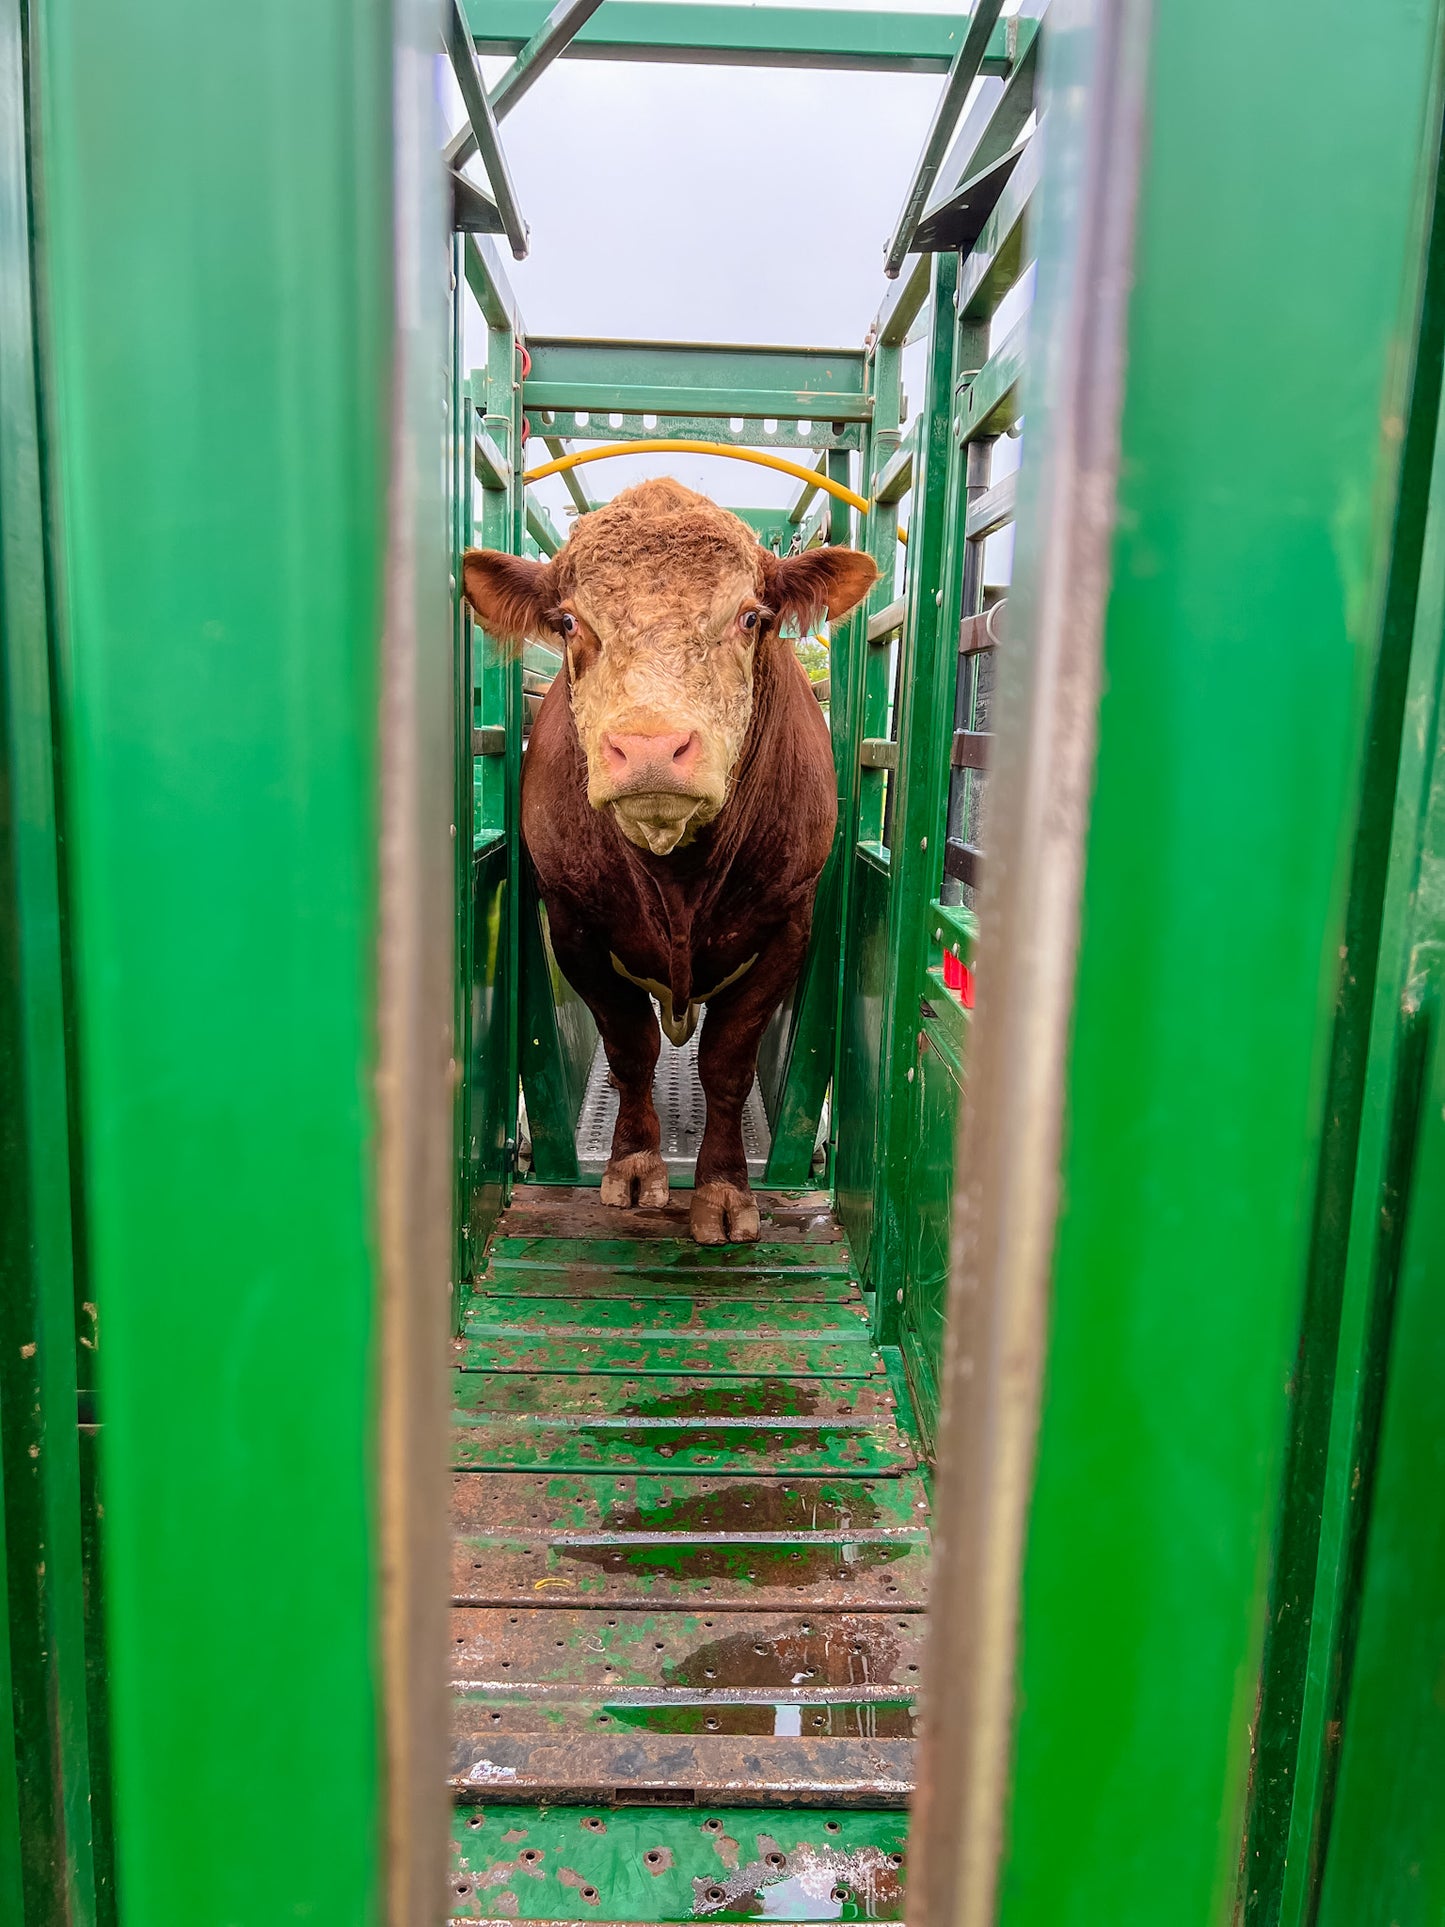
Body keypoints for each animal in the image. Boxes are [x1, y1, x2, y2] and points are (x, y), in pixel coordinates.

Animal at [464, 474, 878, 1240]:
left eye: (751, 617)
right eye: (569, 623)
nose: (651, 746)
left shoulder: (788, 928)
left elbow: (726, 1065)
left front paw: (723, 1189)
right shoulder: (575, 926)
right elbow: (631, 1049)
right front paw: (633, 1165)